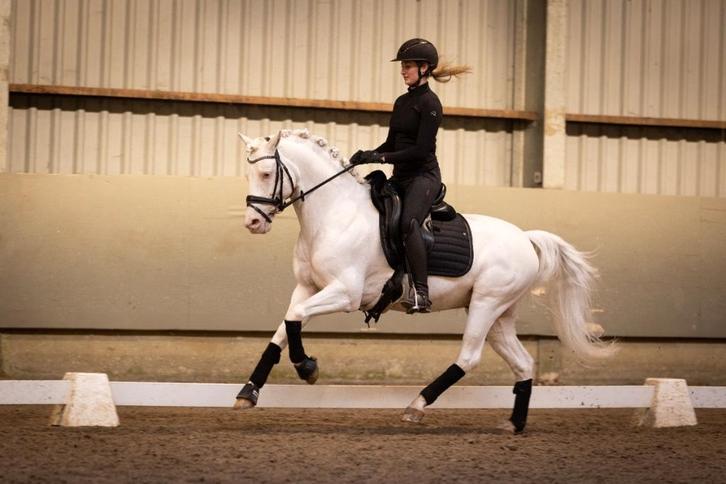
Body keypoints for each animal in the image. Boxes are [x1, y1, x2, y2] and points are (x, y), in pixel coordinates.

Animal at [234, 128, 615, 432]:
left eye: (267, 173)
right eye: (249, 173)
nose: (253, 223)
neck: (334, 215)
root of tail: (525, 237)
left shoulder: (345, 293)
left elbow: (295, 320)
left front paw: (307, 368)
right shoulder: (307, 288)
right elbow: (283, 328)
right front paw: (248, 392)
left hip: (487, 303)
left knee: (469, 357)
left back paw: (416, 407)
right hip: (499, 315)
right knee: (522, 363)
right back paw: (514, 424)